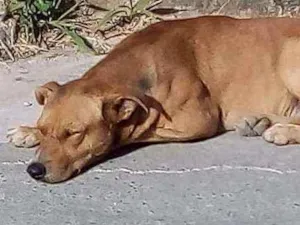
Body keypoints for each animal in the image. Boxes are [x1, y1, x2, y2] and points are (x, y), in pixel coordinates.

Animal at [6, 14, 300, 182]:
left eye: (74, 133)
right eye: (45, 129)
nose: (34, 171)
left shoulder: (198, 121)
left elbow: (136, 131)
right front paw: (28, 131)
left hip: (289, 55)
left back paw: (280, 130)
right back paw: (260, 121)